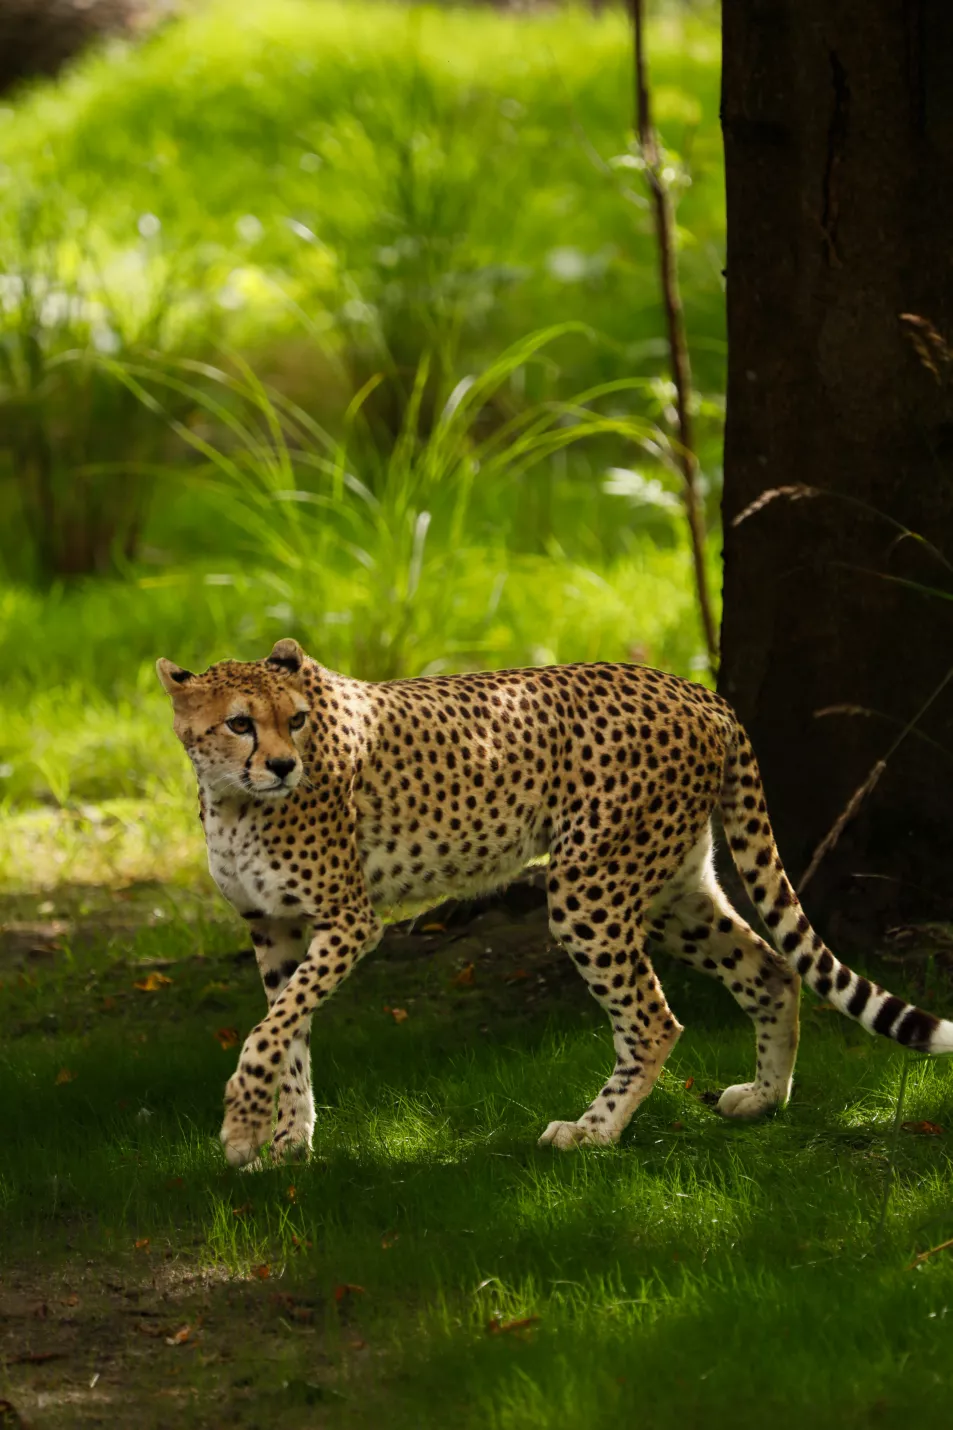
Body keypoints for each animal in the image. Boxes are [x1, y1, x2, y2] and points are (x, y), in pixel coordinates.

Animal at [157, 643, 950, 1166]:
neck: (232, 799)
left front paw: (240, 1128)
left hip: (586, 889)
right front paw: (287, 1138)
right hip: (670, 890)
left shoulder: (349, 921)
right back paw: (764, 1098)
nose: (283, 765)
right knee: (770, 970)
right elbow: (287, 1031)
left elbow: (269, 1030)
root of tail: (692, 687)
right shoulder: (275, 928)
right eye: (239, 723)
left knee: (654, 1020)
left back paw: (592, 1131)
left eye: (294, 721)